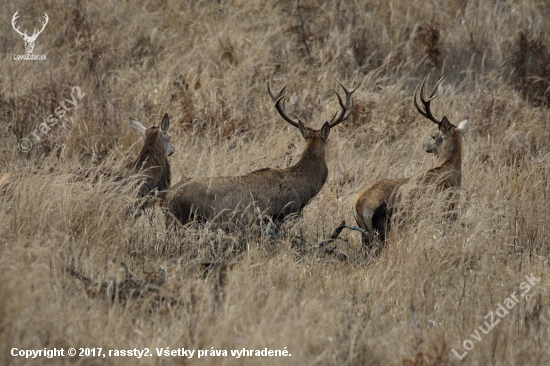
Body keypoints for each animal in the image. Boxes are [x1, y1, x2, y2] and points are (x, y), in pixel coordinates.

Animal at [354, 77, 470, 252]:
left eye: (433, 136)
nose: (424, 145)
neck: (449, 169)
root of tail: (358, 204)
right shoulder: (448, 210)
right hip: (384, 228)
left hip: (365, 233)